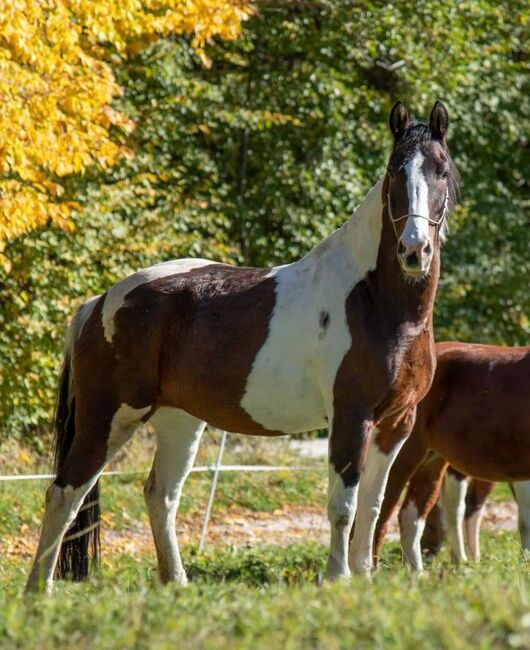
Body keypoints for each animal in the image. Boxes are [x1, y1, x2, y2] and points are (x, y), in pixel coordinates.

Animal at [25, 98, 458, 588]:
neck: (374, 300)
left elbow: (371, 504)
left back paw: (177, 582)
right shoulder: (352, 417)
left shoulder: (395, 424)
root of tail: (99, 303)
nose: (414, 250)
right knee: (64, 494)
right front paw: (338, 578)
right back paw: (40, 590)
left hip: (179, 421)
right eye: (393, 171)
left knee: (160, 494)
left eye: (441, 170)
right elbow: (342, 506)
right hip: (108, 418)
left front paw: (363, 576)